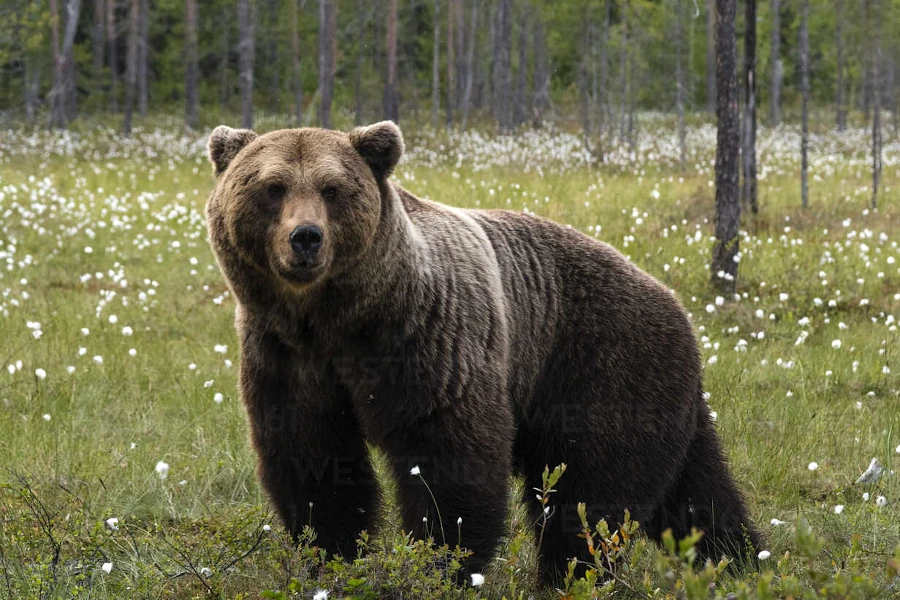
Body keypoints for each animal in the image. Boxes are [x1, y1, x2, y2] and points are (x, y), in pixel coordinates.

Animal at [204, 120, 761, 585]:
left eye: (332, 188)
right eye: (272, 187)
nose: (306, 237)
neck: (337, 319)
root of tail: (678, 305)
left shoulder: (428, 340)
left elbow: (450, 461)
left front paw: (442, 564)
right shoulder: (284, 355)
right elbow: (313, 458)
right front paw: (333, 556)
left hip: (603, 363)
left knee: (592, 495)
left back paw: (567, 577)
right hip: (664, 396)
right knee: (698, 494)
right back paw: (743, 560)